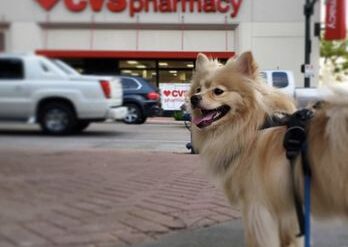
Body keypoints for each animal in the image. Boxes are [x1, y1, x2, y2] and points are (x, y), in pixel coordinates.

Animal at [189, 51, 348, 246]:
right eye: (198, 89)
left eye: (218, 91)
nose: (194, 99)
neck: (252, 128)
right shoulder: (287, 210)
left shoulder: (257, 207)